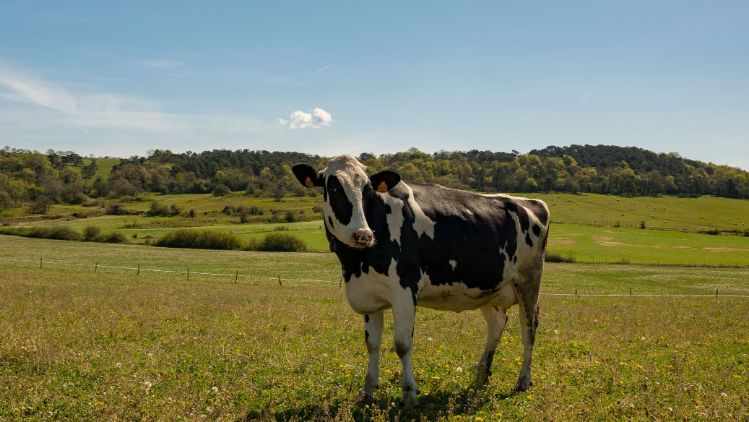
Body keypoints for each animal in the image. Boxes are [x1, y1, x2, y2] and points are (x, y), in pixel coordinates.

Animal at [292, 155, 550, 404]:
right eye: (333, 188)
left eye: (368, 190)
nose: (363, 235)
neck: (355, 265)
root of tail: (531, 202)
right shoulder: (370, 294)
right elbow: (372, 344)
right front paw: (368, 390)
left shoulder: (405, 289)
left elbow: (402, 344)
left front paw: (409, 392)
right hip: (489, 288)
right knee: (497, 324)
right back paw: (481, 376)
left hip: (529, 279)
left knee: (528, 328)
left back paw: (523, 381)